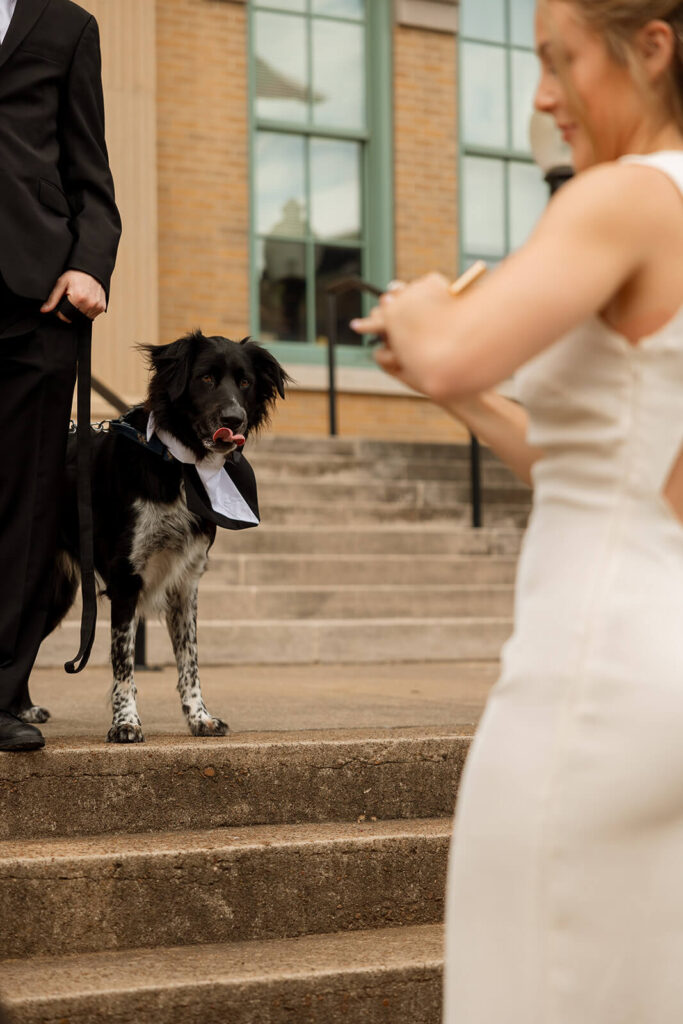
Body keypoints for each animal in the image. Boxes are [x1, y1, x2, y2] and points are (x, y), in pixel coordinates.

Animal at [41, 331, 288, 741]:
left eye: (245, 382)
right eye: (206, 378)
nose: (233, 419)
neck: (177, 463)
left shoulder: (185, 582)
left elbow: (189, 660)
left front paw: (200, 717)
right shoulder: (126, 580)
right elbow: (123, 661)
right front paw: (125, 723)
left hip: (55, 594)